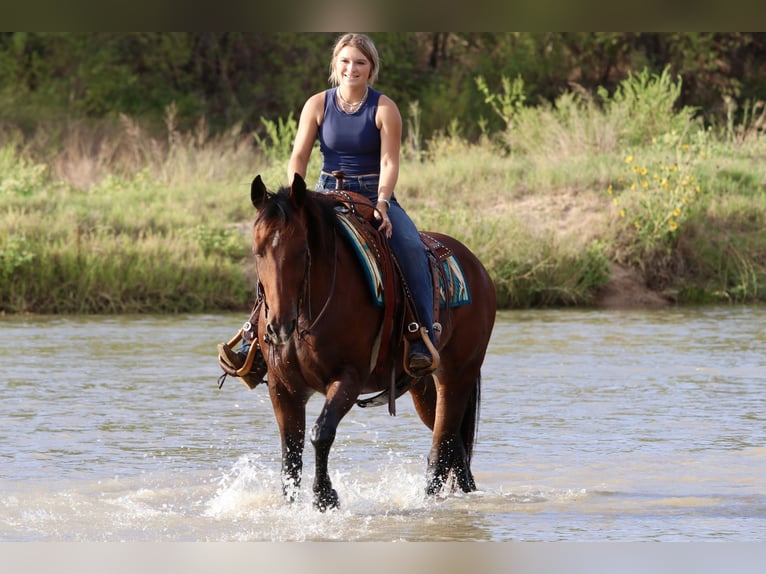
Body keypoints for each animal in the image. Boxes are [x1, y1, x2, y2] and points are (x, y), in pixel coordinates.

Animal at [247, 173, 496, 511]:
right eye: (257, 251)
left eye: (301, 251)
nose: (278, 326)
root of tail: (478, 269)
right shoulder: (283, 387)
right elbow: (290, 455)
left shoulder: (349, 378)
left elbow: (321, 433)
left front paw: (325, 497)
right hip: (424, 386)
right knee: (454, 443)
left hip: (457, 375)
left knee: (442, 446)